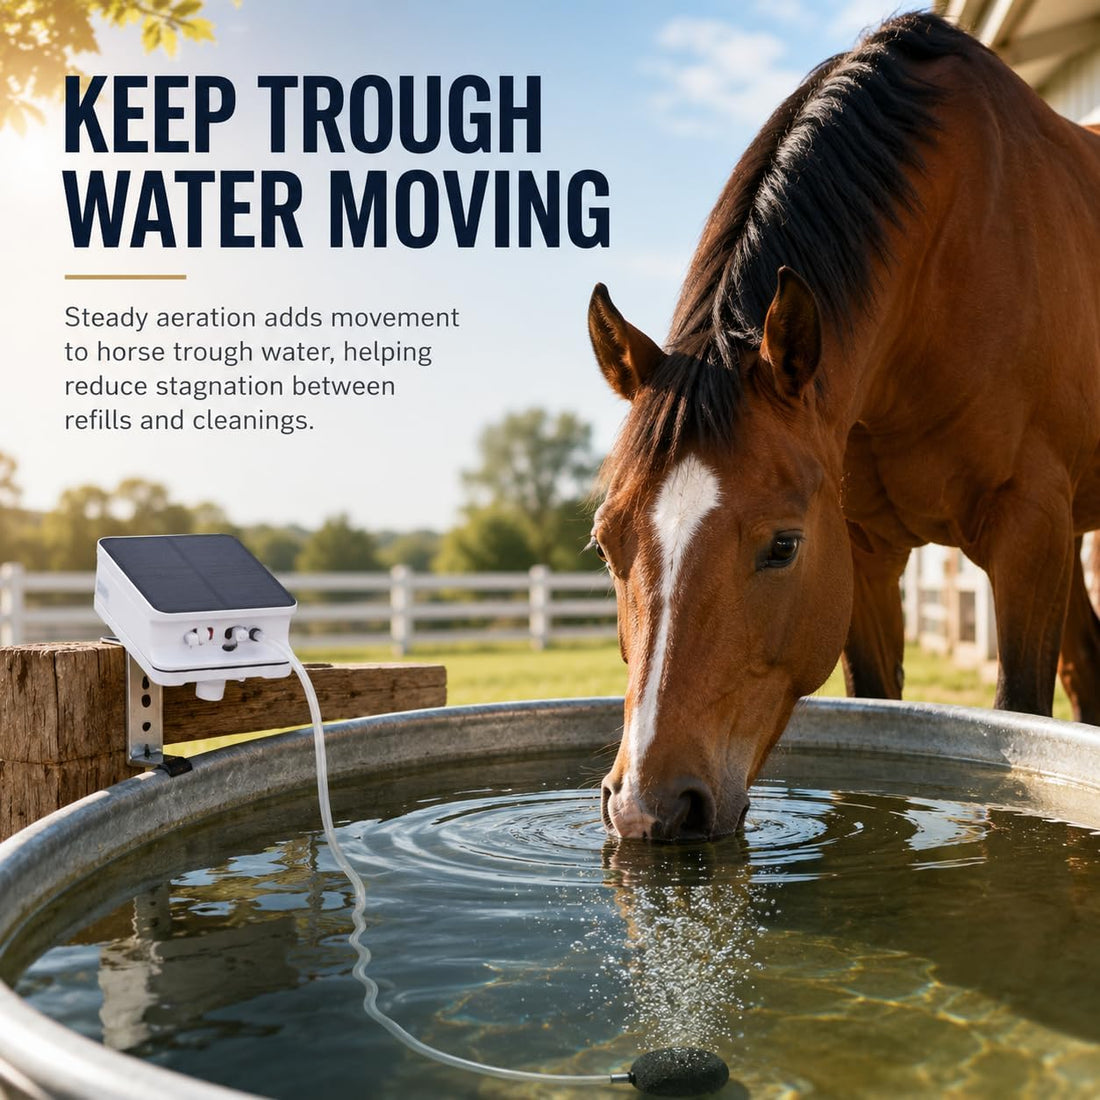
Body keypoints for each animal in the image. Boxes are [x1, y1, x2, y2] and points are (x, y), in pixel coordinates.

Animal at [587, 12, 1100, 841]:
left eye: (783, 546)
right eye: (607, 545)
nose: (648, 810)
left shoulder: (1029, 535)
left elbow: (1022, 714)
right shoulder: (866, 551)